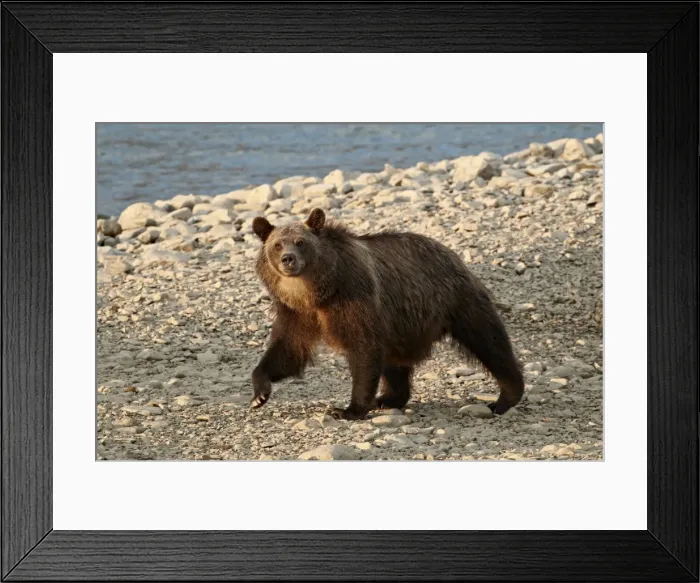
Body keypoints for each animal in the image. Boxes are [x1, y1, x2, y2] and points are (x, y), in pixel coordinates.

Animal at [250, 208, 524, 421]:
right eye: (277, 244)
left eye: (300, 242)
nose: (288, 259)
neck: (317, 292)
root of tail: (450, 252)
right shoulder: (296, 313)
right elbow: (289, 350)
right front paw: (259, 394)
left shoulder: (354, 297)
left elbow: (363, 349)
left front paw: (348, 409)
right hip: (402, 321)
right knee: (396, 361)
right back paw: (389, 398)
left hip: (455, 300)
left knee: (489, 342)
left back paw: (505, 397)